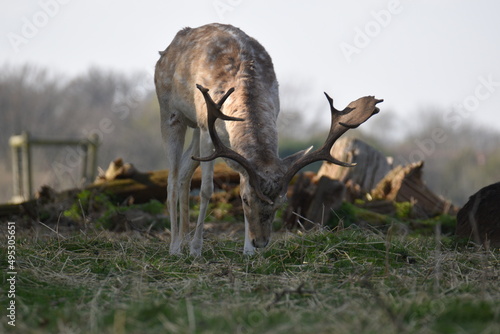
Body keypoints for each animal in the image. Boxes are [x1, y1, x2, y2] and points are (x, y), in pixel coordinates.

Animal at [154, 24, 380, 256]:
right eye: (246, 200)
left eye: (281, 203)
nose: (260, 242)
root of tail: (168, 48)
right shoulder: (208, 131)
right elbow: (207, 189)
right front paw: (196, 249)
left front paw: (247, 252)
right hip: (171, 113)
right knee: (172, 178)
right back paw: (175, 247)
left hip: (195, 127)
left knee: (184, 170)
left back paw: (183, 238)